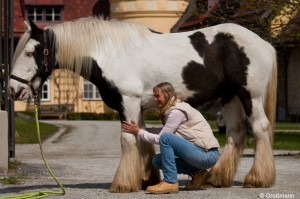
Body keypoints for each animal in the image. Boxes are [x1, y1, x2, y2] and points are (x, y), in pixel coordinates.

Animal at [8, 17, 276, 193]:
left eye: (31, 51)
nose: (12, 89)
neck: (111, 53)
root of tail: (264, 44)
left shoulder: (128, 102)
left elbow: (128, 140)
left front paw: (123, 184)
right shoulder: (136, 107)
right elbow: (142, 140)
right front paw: (146, 178)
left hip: (249, 97)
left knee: (260, 129)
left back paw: (258, 179)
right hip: (230, 98)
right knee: (236, 134)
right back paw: (217, 178)